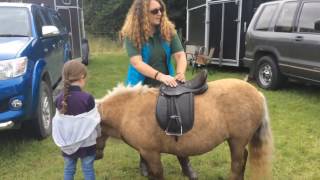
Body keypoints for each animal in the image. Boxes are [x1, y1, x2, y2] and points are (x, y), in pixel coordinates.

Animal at [95, 79, 272, 180]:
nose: (96, 156)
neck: (128, 109)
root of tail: (257, 92)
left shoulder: (151, 153)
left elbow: (158, 174)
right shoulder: (146, 153)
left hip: (237, 141)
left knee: (237, 165)